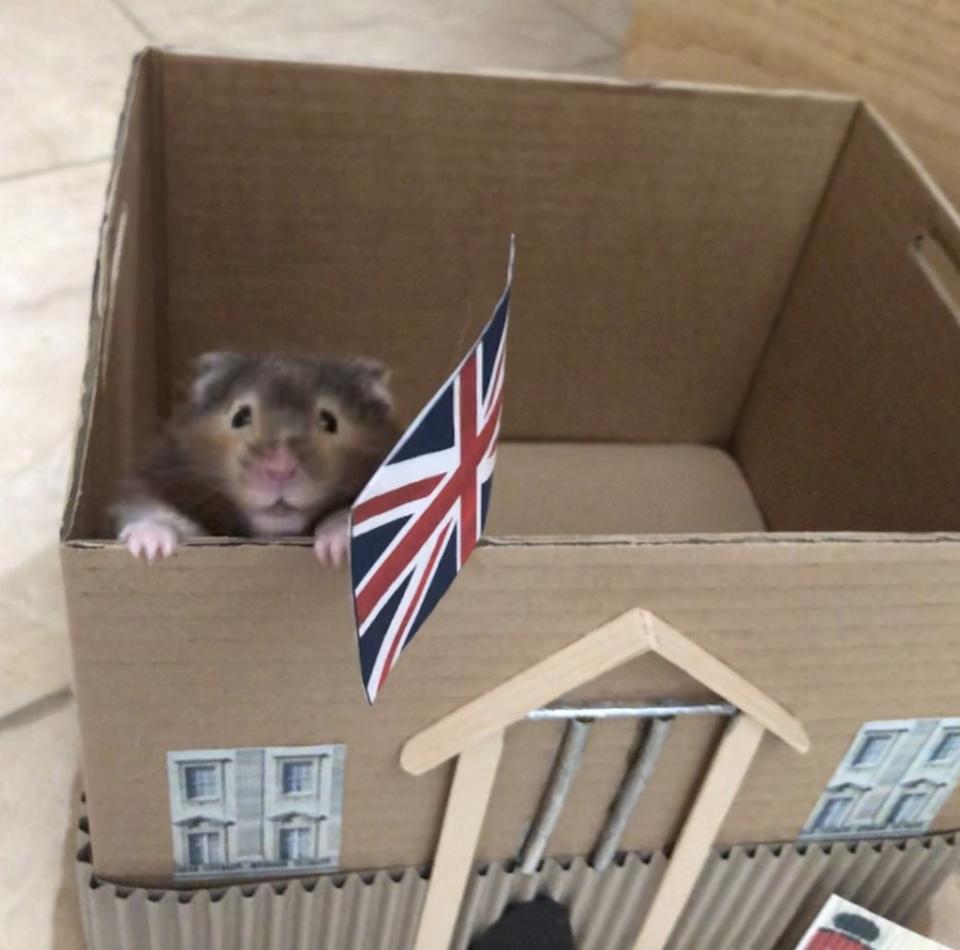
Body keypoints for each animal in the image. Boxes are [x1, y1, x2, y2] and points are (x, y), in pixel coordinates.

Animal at [112, 354, 398, 568]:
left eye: (330, 421)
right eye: (240, 416)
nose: (279, 469)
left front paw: (334, 553)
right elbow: (155, 512)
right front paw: (149, 550)